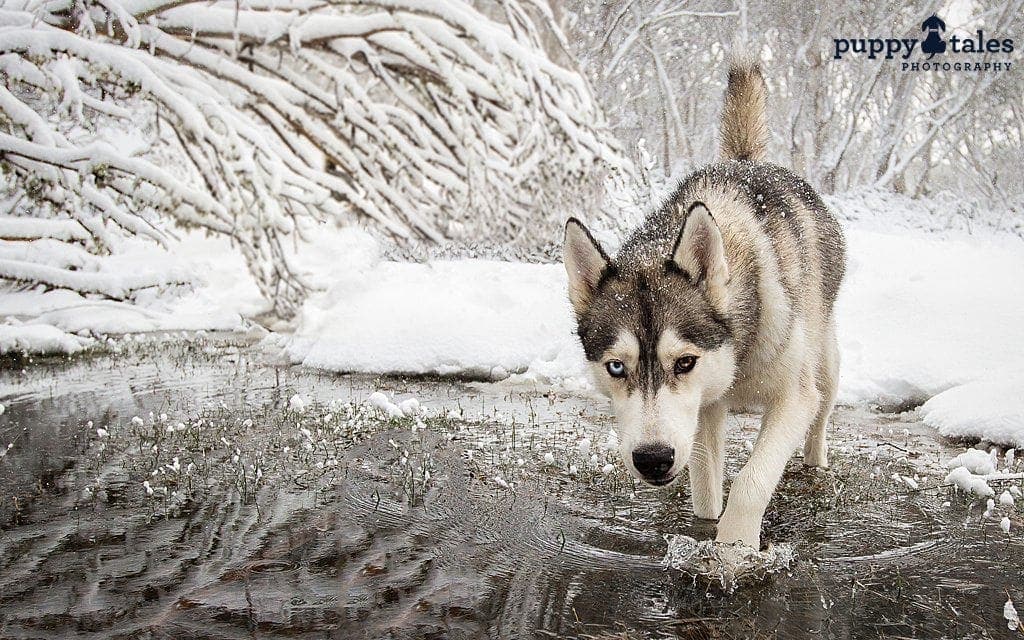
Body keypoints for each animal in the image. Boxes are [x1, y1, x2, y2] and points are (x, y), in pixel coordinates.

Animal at [565, 61, 843, 548]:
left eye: (685, 362)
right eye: (616, 367)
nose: (653, 458)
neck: (739, 357)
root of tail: (745, 160)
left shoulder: (792, 398)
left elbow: (750, 483)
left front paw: (735, 552)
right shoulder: (703, 412)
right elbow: (705, 494)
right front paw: (708, 534)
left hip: (824, 368)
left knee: (820, 418)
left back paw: (815, 462)